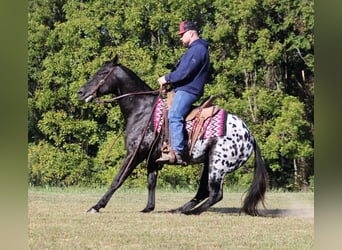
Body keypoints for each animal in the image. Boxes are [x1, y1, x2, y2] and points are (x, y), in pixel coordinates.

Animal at [77, 55, 268, 216]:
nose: (80, 92)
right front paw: (148, 208)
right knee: (202, 192)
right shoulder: (152, 158)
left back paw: (191, 212)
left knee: (215, 194)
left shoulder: (135, 153)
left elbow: (118, 179)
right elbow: (151, 182)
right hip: (209, 163)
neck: (142, 110)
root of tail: (250, 136)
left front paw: (96, 206)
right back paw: (179, 209)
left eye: (102, 73)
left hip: (218, 166)